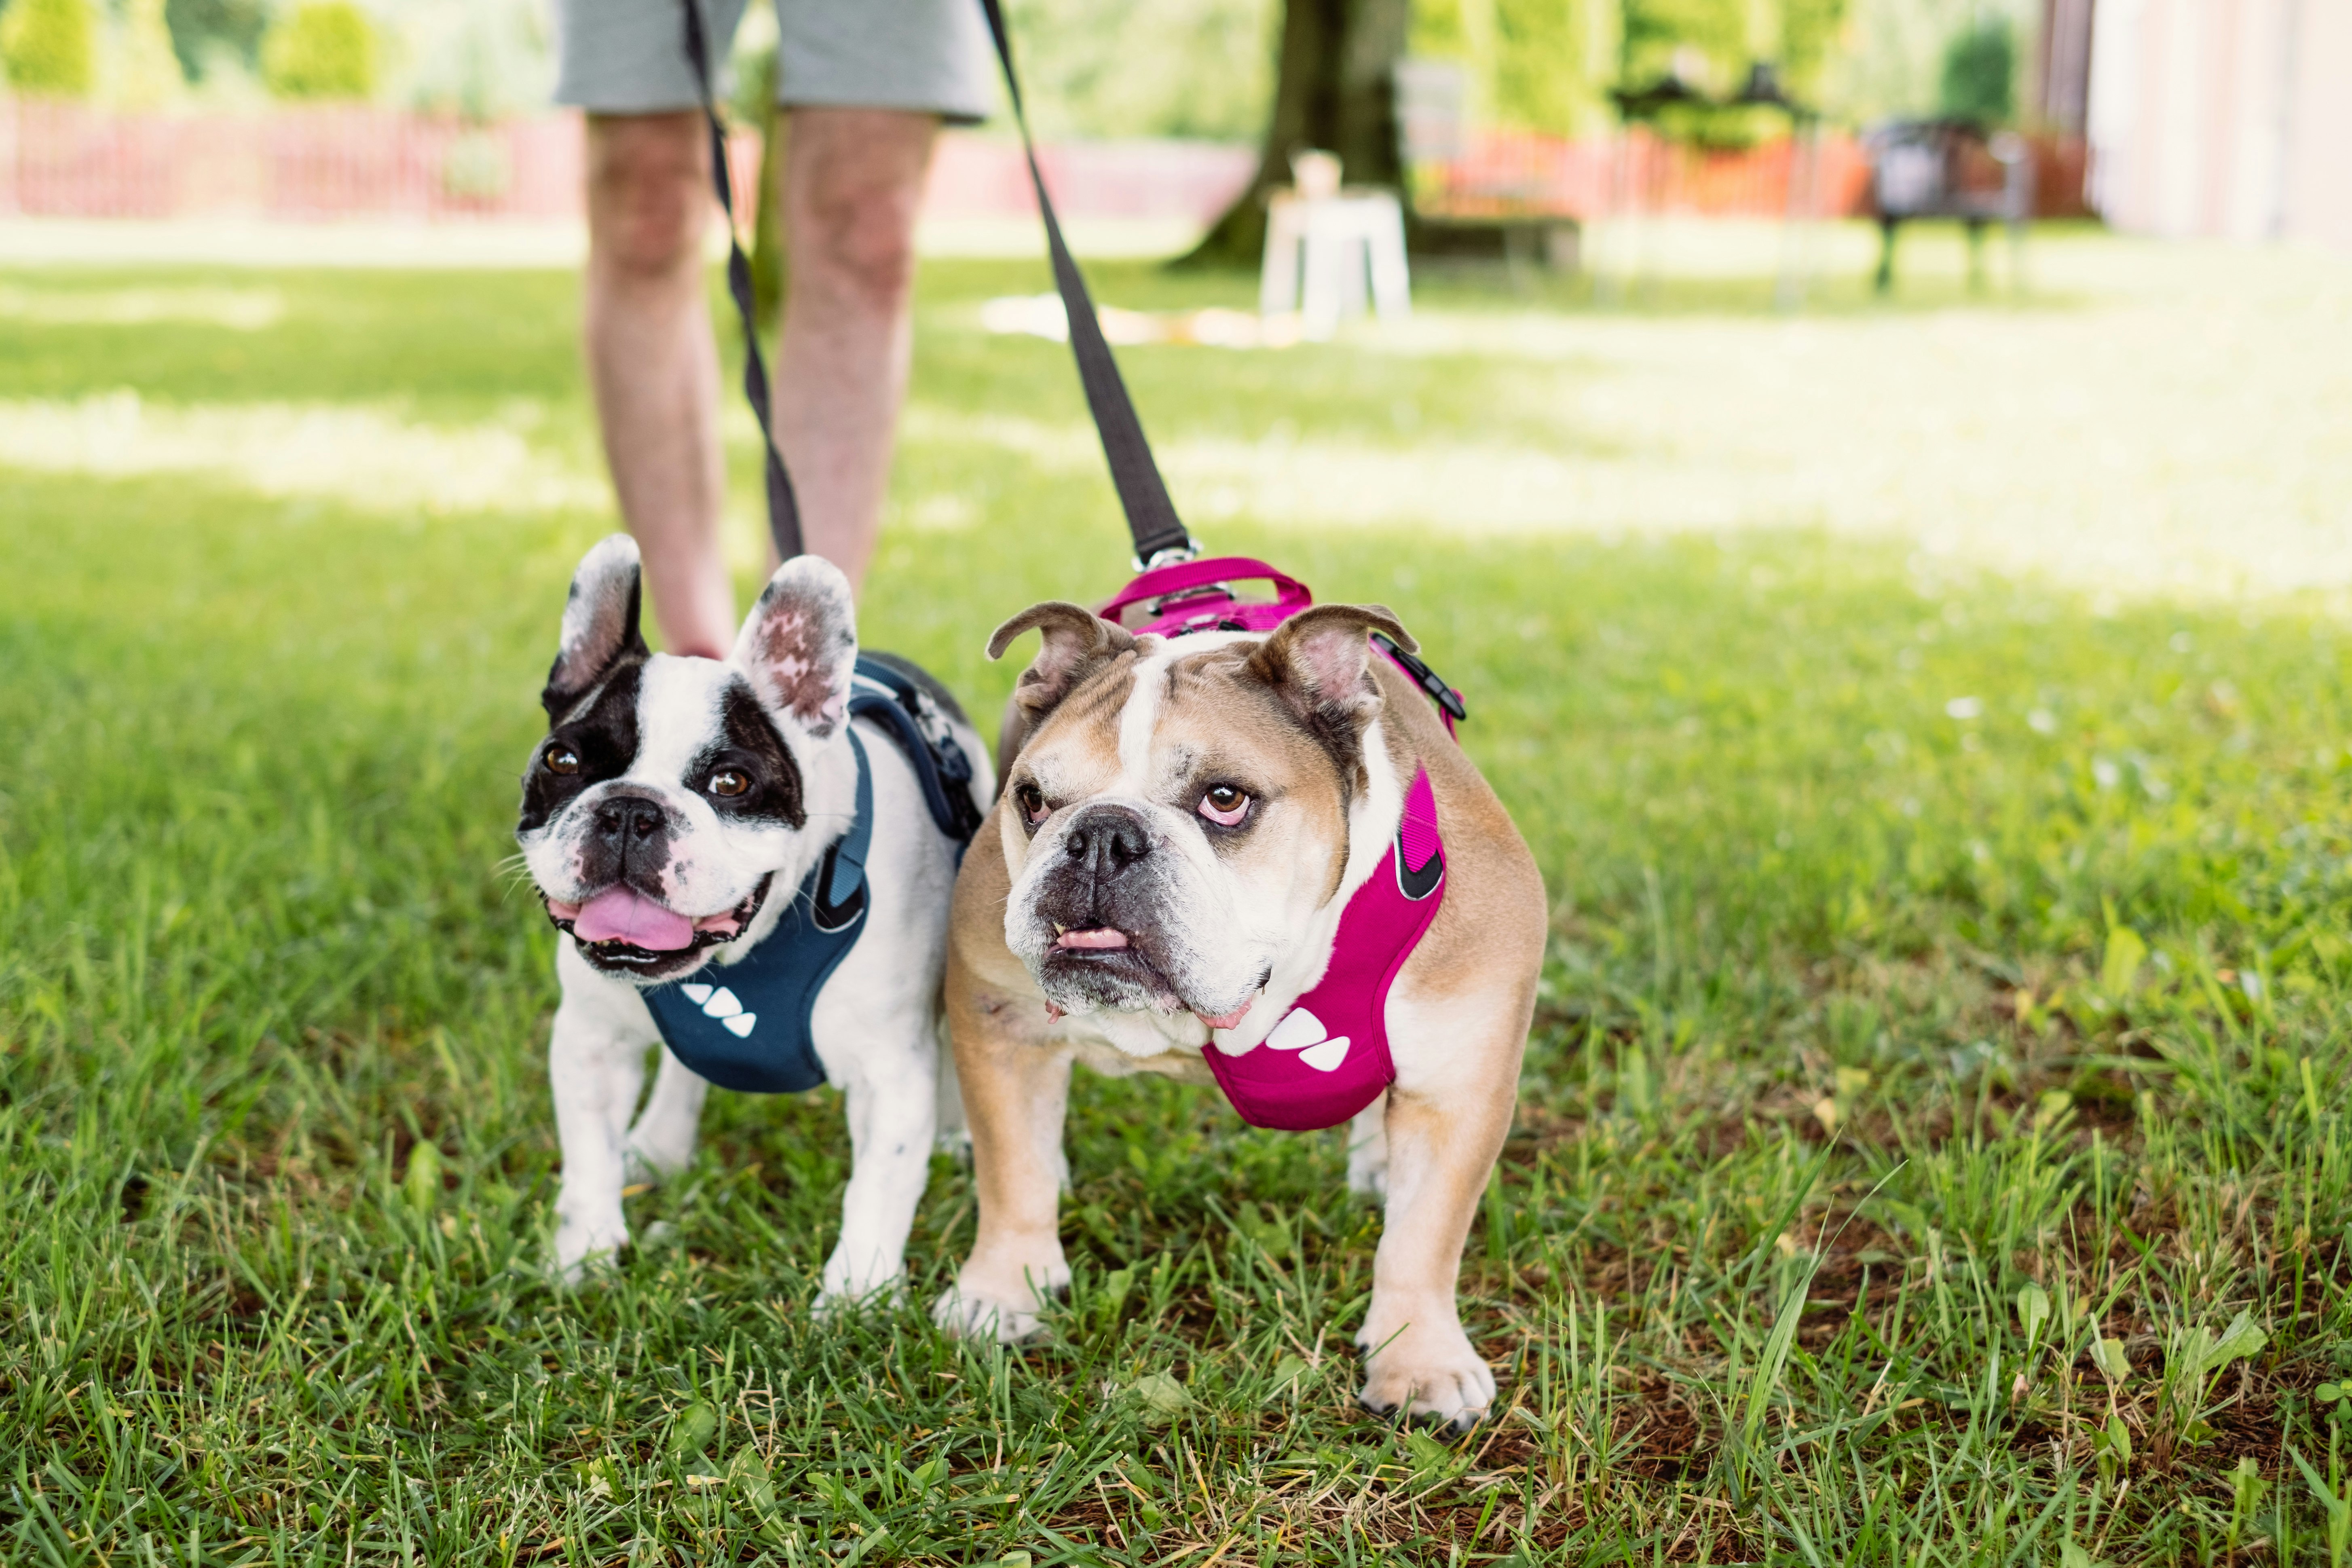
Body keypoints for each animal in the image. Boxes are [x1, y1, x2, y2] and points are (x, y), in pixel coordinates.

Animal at [520, 541, 988, 1298]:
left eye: (730, 782)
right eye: (562, 760)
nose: (629, 808)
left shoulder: (890, 1073)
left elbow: (878, 1189)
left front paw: (855, 1298)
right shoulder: (591, 1041)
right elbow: (588, 1159)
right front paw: (581, 1260)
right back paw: (660, 1144)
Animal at [926, 594, 1552, 1429]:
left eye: (1224, 800)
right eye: (1031, 800)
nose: (1101, 834)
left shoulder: (1458, 1085)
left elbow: (1424, 1235)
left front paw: (1419, 1360)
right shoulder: (1000, 1022)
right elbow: (1011, 1173)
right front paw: (1000, 1294)